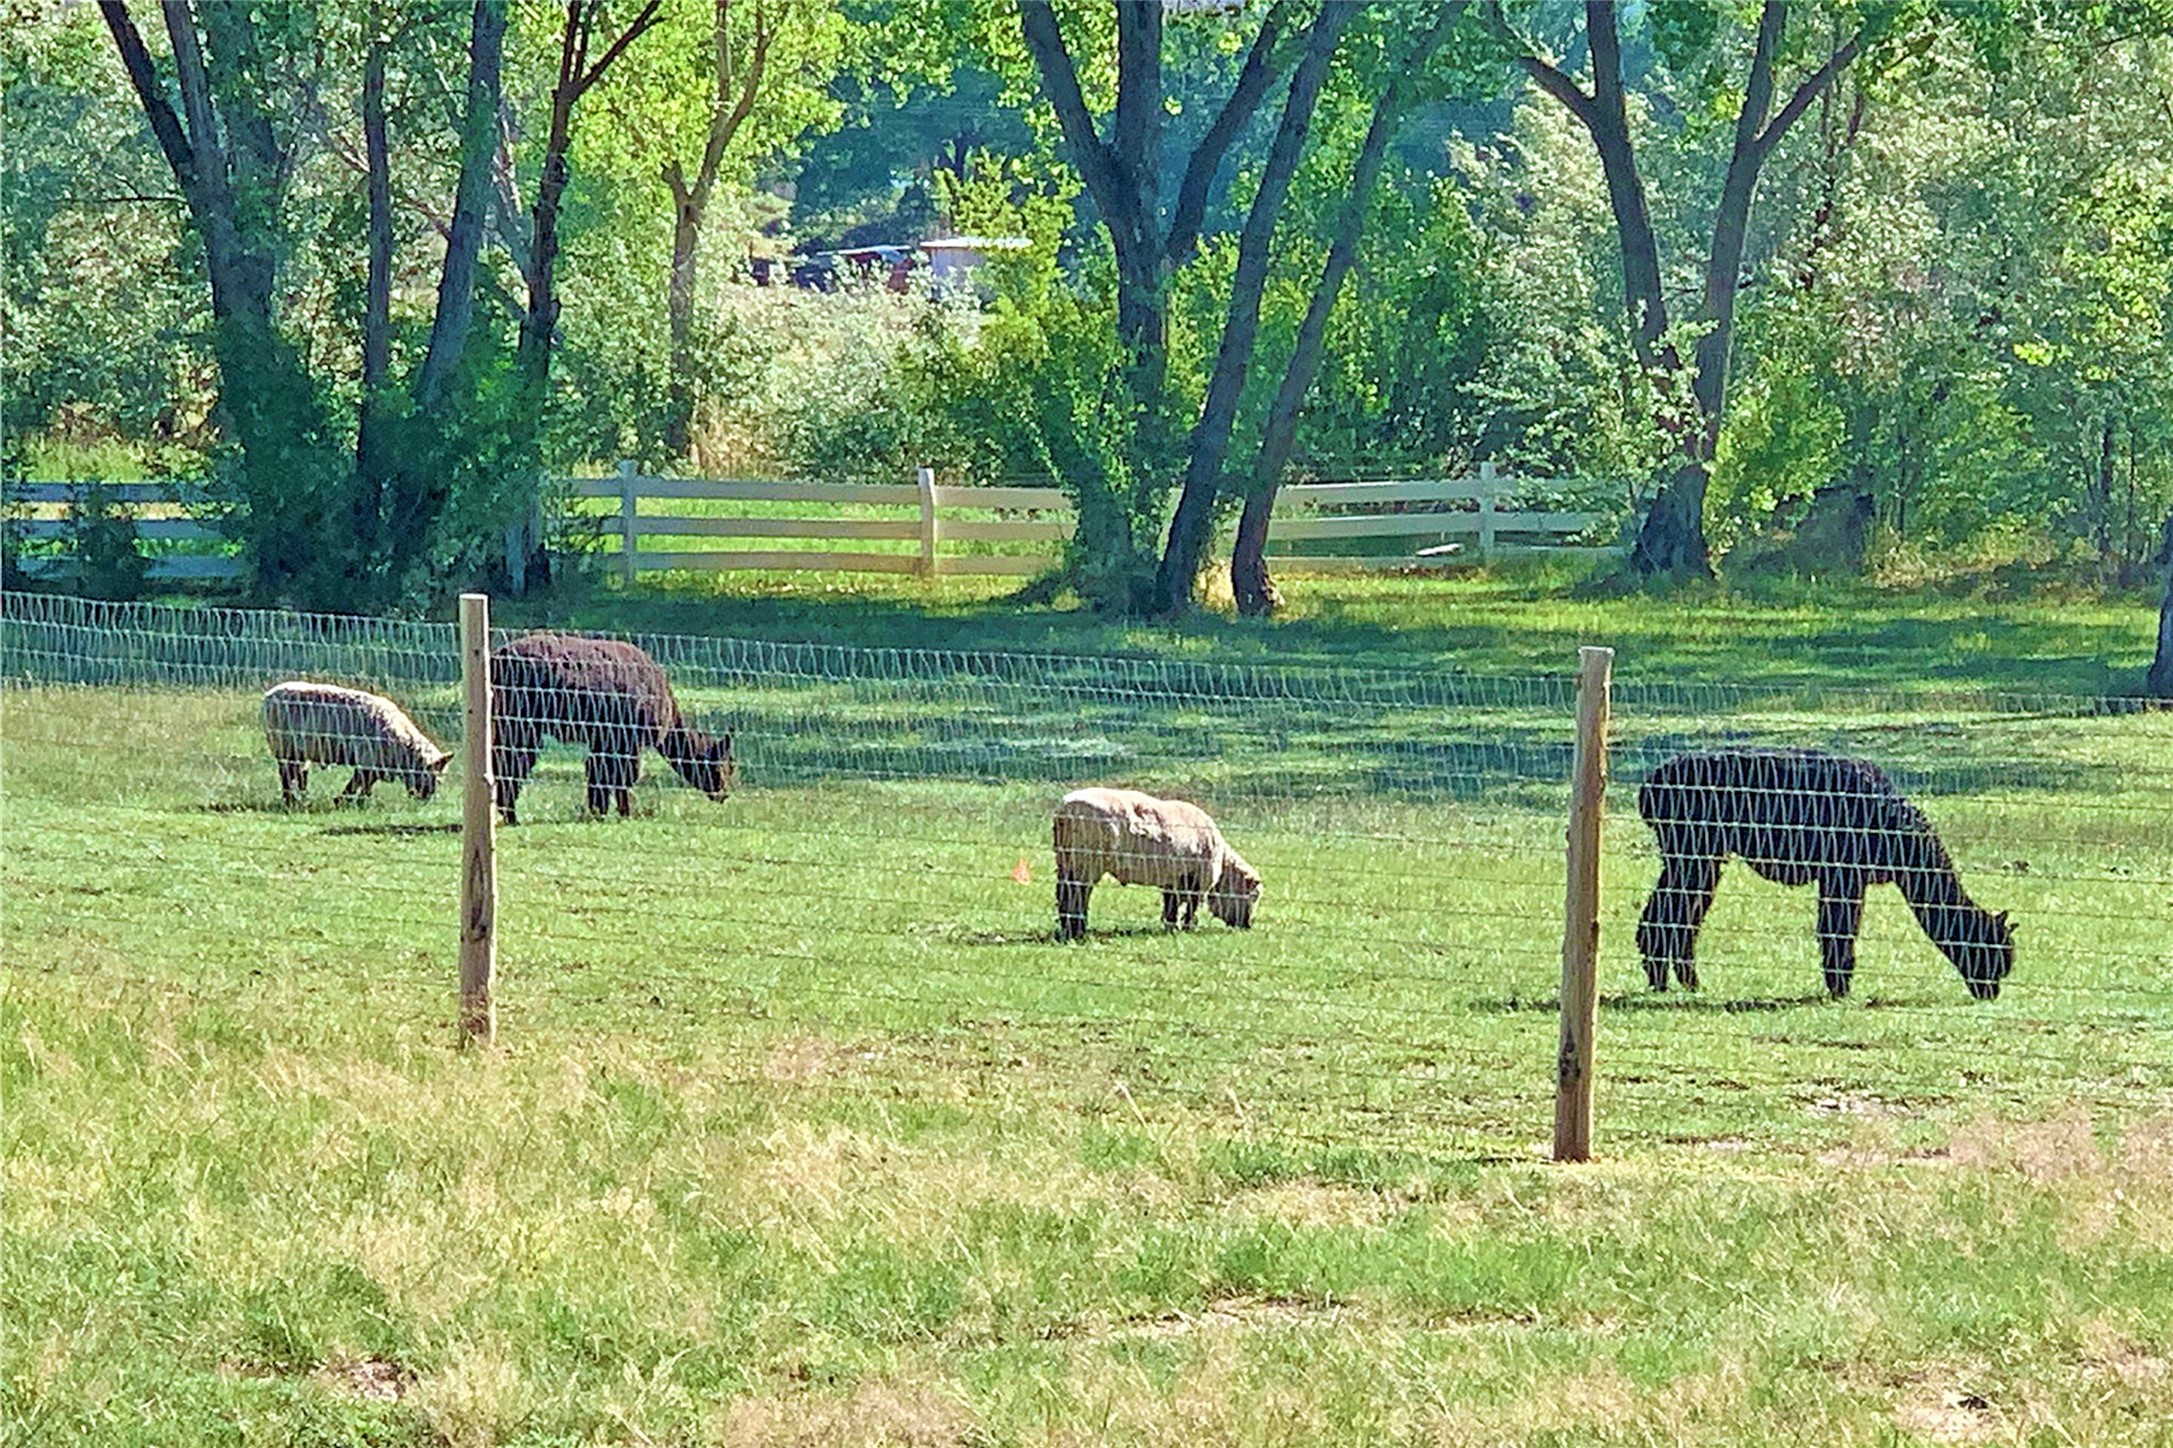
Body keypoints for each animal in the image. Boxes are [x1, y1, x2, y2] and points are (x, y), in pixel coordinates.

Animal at [263, 681, 451, 805]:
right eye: (431, 777)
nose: (425, 801)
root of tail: (269, 695)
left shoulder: (376, 763)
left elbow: (366, 783)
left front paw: (357, 801)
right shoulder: (368, 757)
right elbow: (359, 781)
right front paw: (343, 800)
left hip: (299, 750)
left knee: (299, 774)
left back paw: (302, 798)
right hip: (284, 746)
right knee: (286, 774)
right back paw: (290, 800)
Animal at [489, 632, 736, 824]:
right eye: (720, 767)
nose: (724, 794)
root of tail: (497, 656)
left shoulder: (605, 739)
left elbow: (600, 773)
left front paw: (600, 811)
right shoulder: (625, 739)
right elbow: (620, 776)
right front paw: (620, 813)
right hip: (519, 722)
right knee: (511, 763)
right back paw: (511, 817)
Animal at [1052, 787, 1261, 940]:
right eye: (1252, 896)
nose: (1247, 925)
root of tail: (1064, 810)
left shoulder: (1174, 878)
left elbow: (1171, 905)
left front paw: (1171, 928)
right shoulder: (1199, 877)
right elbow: (1191, 906)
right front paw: (1188, 928)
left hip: (1066, 859)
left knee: (1064, 893)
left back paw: (1068, 929)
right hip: (1086, 861)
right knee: (1077, 894)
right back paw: (1077, 930)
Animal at [1636, 747, 2014, 1000]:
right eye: (1990, 952)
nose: (1990, 991)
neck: (1897, 833)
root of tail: (1650, 786)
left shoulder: (1844, 875)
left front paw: (1838, 986)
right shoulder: (1843, 872)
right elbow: (1838, 929)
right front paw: (1840, 989)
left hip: (1700, 854)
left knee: (1680, 915)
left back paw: (1679, 982)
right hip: (1693, 850)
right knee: (1669, 913)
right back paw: (1669, 981)